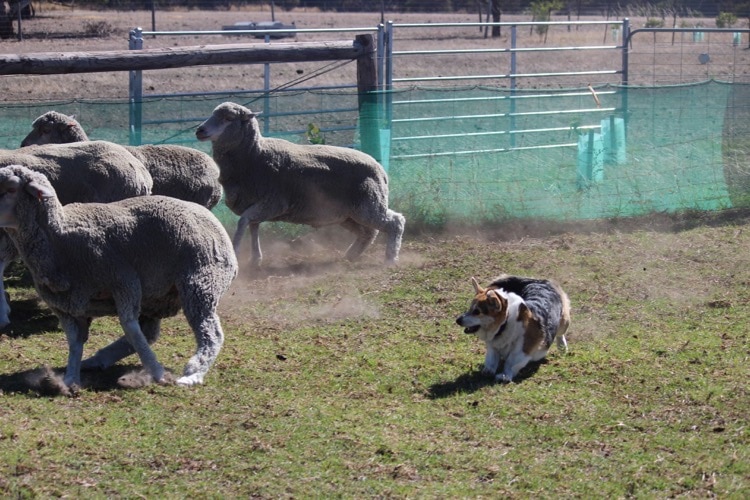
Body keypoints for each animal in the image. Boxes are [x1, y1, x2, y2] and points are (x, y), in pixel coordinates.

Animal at [0, 164, 238, 390]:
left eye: (11, 189)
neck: (61, 238)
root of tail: (212, 219)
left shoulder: (124, 281)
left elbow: (130, 327)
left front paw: (158, 373)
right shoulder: (66, 306)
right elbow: (75, 343)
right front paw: (69, 380)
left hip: (200, 283)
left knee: (212, 333)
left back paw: (192, 373)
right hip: (158, 297)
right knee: (150, 332)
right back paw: (96, 360)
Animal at [194, 99, 406, 268]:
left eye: (228, 118)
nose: (200, 130)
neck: (255, 155)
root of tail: (380, 170)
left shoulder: (274, 203)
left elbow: (243, 222)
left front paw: (236, 251)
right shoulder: (258, 202)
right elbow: (253, 226)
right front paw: (255, 258)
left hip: (368, 206)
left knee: (395, 222)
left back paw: (390, 259)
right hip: (349, 213)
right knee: (368, 232)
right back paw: (351, 255)